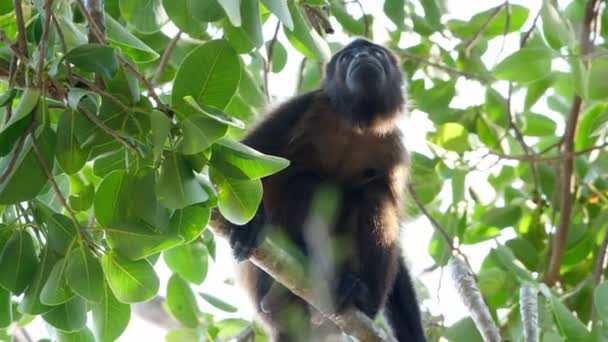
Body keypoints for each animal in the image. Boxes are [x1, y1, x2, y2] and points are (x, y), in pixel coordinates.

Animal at [226, 38, 426, 340]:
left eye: (375, 52)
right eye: (347, 57)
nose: (363, 55)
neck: (358, 124)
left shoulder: (395, 147)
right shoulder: (304, 106)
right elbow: (245, 159)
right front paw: (249, 225)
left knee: (374, 194)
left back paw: (361, 298)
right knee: (306, 182)